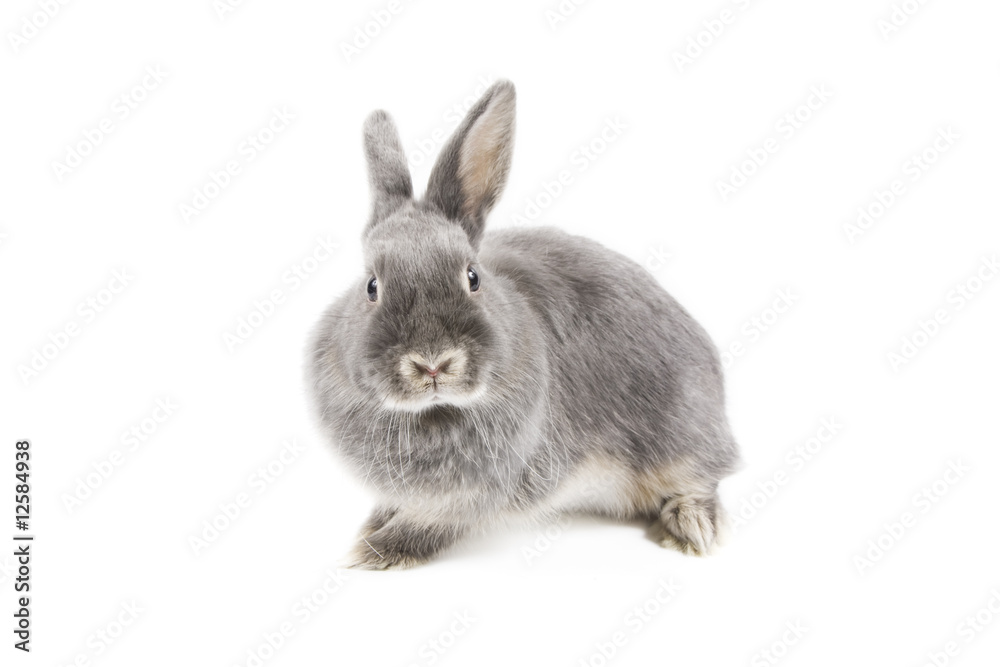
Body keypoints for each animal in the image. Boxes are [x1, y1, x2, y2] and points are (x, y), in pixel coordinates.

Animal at [308, 80, 741, 569]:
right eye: (371, 286)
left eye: (473, 277)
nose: (433, 363)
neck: (433, 413)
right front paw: (369, 528)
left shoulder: (487, 488)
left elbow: (431, 524)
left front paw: (372, 553)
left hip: (679, 435)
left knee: (704, 478)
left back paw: (692, 528)